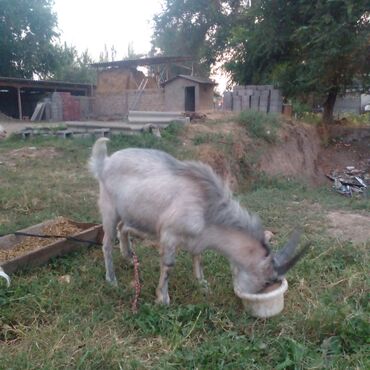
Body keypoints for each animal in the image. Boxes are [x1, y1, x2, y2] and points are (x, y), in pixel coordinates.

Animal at [88, 139, 308, 304]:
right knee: (107, 242)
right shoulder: (169, 235)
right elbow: (169, 265)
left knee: (123, 227)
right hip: (109, 208)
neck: (206, 207)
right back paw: (111, 279)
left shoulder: (197, 238)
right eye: (268, 281)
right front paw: (163, 298)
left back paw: (128, 255)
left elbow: (198, 257)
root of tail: (105, 162)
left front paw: (202, 284)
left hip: (133, 213)